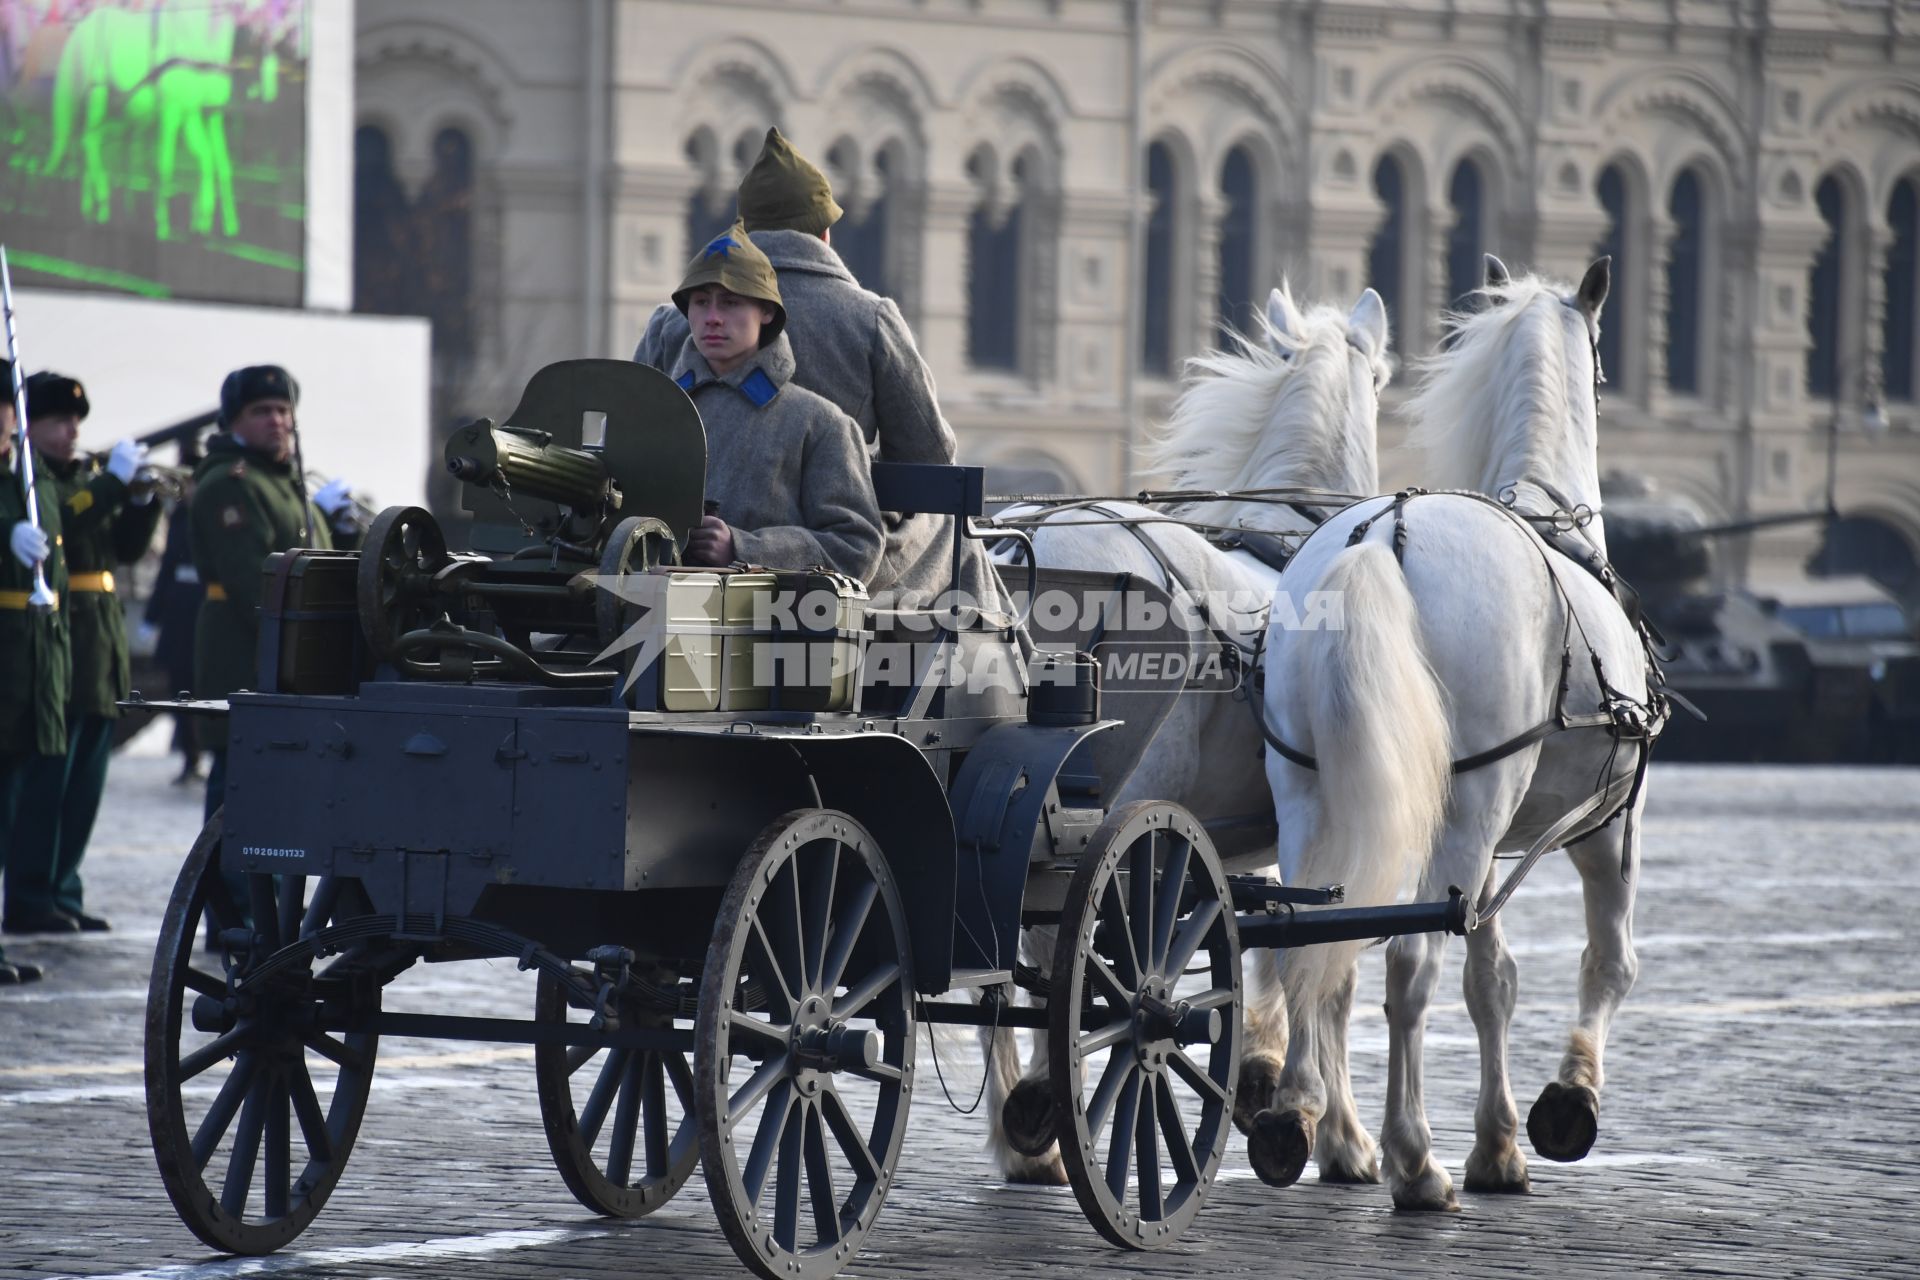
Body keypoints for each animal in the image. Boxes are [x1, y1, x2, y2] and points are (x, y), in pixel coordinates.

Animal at [983, 285, 1390, 1189]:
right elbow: (1311, 962)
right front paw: (1326, 1124)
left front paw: (1265, 1078)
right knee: (1056, 950)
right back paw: (1046, 1104)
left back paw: (1022, 1130)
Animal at [1251, 257, 1658, 1212]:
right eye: (1599, 365)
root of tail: (1380, 536)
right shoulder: (1606, 826)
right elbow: (1607, 962)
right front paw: (1562, 1105)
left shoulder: (1491, 844)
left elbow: (1492, 979)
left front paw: (1498, 1139)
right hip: (1472, 807)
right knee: (1407, 967)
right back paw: (1412, 1158)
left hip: (1311, 796)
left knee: (1309, 947)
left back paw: (1296, 1121)